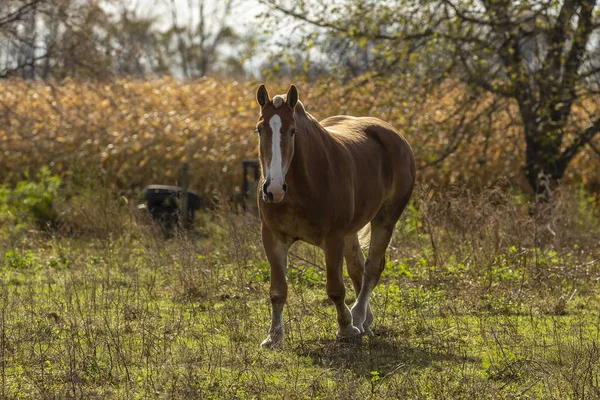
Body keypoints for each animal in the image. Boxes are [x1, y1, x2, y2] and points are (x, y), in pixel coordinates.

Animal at [254, 85, 418, 350]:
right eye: (260, 129)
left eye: (292, 131)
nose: (274, 189)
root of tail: (392, 134)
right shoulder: (272, 237)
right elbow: (277, 291)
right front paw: (273, 337)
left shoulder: (333, 239)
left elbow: (335, 289)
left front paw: (346, 328)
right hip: (351, 233)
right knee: (357, 267)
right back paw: (366, 321)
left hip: (385, 219)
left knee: (372, 268)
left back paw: (358, 317)